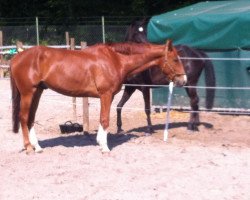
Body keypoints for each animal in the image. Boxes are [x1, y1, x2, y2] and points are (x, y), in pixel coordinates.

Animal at [10, 40, 186, 153]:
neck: (116, 59)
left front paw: (101, 143)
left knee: (31, 118)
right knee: (23, 117)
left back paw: (38, 147)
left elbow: (103, 119)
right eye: (175, 59)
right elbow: (105, 120)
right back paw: (28, 148)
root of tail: (16, 57)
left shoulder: (108, 96)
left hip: (37, 92)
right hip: (28, 93)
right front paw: (105, 148)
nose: (183, 80)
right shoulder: (105, 94)